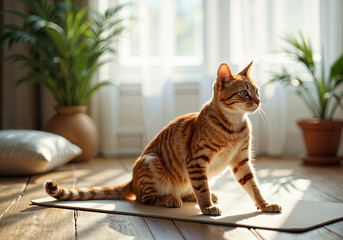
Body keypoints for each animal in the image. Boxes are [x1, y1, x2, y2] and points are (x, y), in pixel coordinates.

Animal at [45, 62, 282, 216]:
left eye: (258, 92)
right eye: (244, 93)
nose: (258, 101)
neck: (234, 127)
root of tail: (132, 179)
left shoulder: (241, 161)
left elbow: (254, 187)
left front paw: (265, 205)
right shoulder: (197, 161)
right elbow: (202, 188)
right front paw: (206, 207)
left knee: (189, 189)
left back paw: (194, 195)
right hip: (152, 163)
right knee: (144, 198)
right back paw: (170, 199)